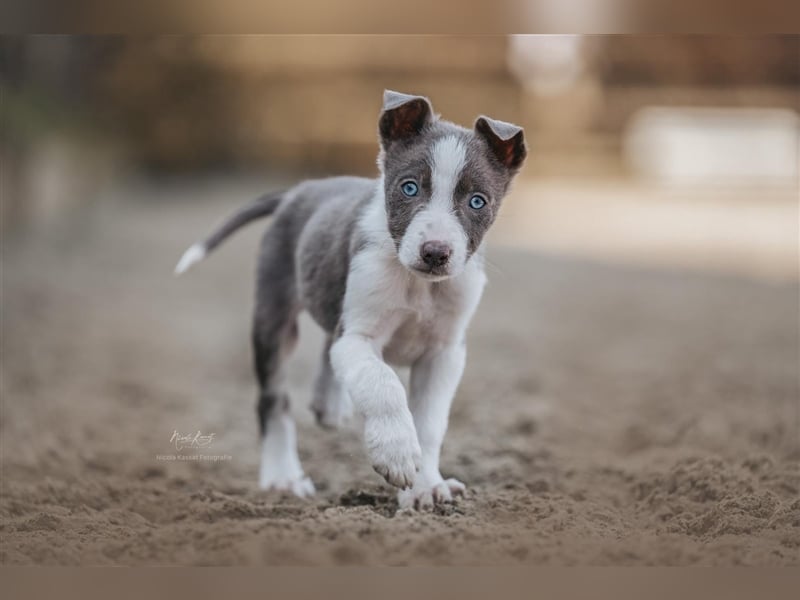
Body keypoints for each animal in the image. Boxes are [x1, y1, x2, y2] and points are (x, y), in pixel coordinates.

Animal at [175, 90, 524, 510]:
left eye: (477, 201)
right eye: (409, 188)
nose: (435, 253)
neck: (417, 283)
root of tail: (299, 191)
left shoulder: (443, 353)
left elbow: (429, 424)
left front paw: (426, 487)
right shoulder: (357, 336)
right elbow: (382, 382)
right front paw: (396, 453)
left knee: (326, 346)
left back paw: (329, 405)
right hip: (274, 319)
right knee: (274, 399)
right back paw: (283, 478)